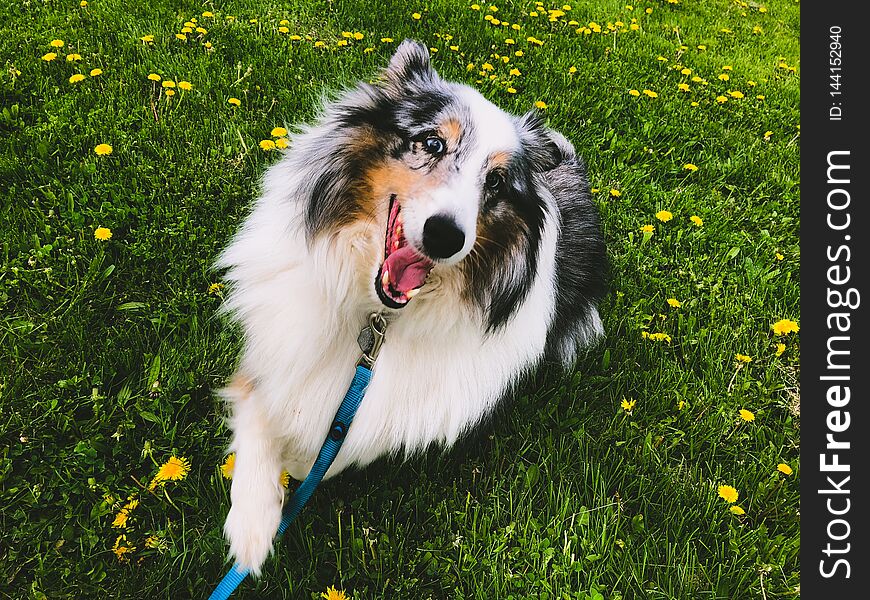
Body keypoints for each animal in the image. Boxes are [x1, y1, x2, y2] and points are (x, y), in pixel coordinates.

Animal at [213, 39, 608, 576]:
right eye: (433, 143)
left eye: (497, 182)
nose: (445, 236)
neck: (375, 316)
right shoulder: (271, 352)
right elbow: (261, 412)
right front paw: (253, 526)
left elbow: (327, 448)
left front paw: (293, 474)